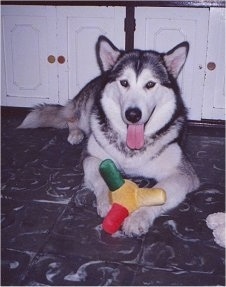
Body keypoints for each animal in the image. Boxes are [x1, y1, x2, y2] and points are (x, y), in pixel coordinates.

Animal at [19, 35, 200, 237]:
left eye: (150, 84)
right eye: (124, 83)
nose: (133, 114)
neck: (130, 151)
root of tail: (100, 75)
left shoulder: (183, 174)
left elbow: (161, 192)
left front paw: (138, 217)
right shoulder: (91, 157)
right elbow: (100, 178)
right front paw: (107, 201)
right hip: (86, 111)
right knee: (71, 119)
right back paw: (75, 134)